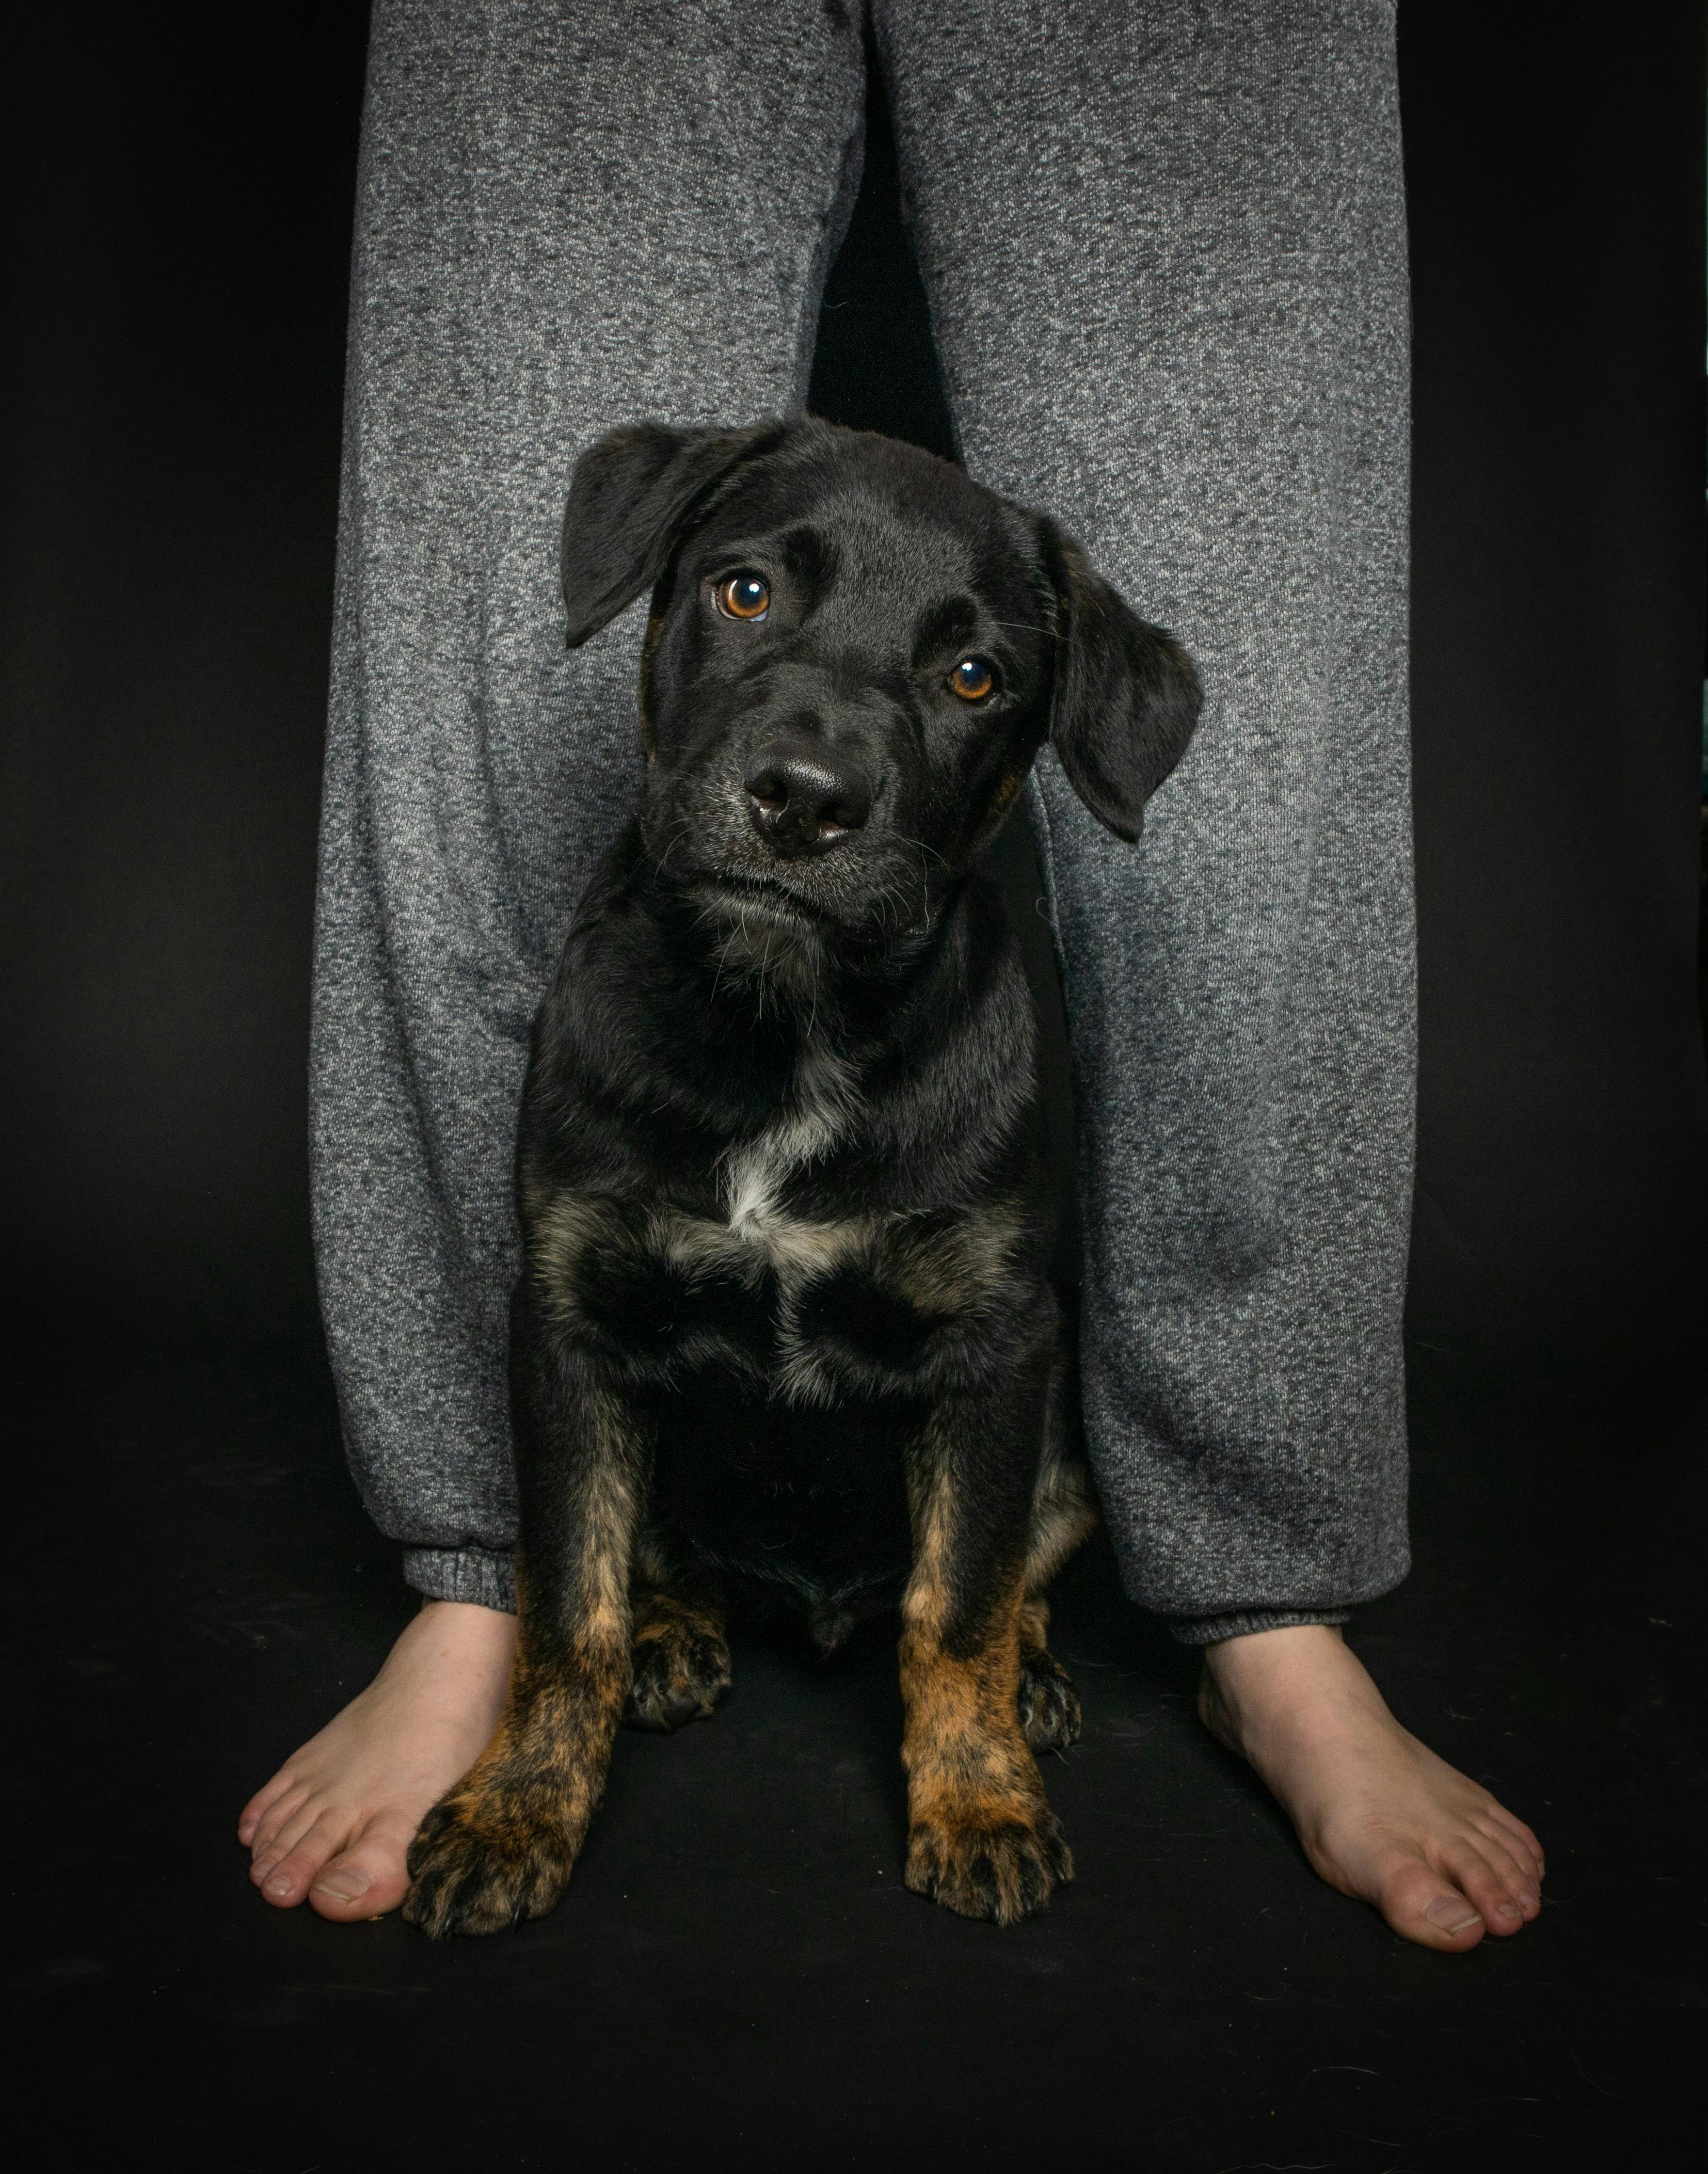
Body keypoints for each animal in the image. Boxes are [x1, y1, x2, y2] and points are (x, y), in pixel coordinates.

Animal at [402, 411, 1199, 1939]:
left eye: (972, 676)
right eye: (745, 591)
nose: (803, 804)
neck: (787, 1021)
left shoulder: (996, 1345)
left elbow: (955, 1603)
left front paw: (979, 1796)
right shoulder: (568, 1317)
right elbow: (567, 1598)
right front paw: (516, 1804)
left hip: (1063, 1447)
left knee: (1001, 1576)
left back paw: (1034, 1678)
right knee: (651, 1555)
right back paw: (674, 1632)